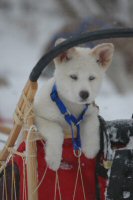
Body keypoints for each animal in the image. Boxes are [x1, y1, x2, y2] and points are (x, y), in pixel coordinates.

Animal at [33, 39, 114, 170]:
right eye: (73, 76)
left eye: (91, 78)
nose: (84, 94)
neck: (71, 106)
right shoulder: (38, 117)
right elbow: (55, 130)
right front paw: (53, 159)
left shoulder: (92, 110)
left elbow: (92, 124)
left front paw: (91, 148)